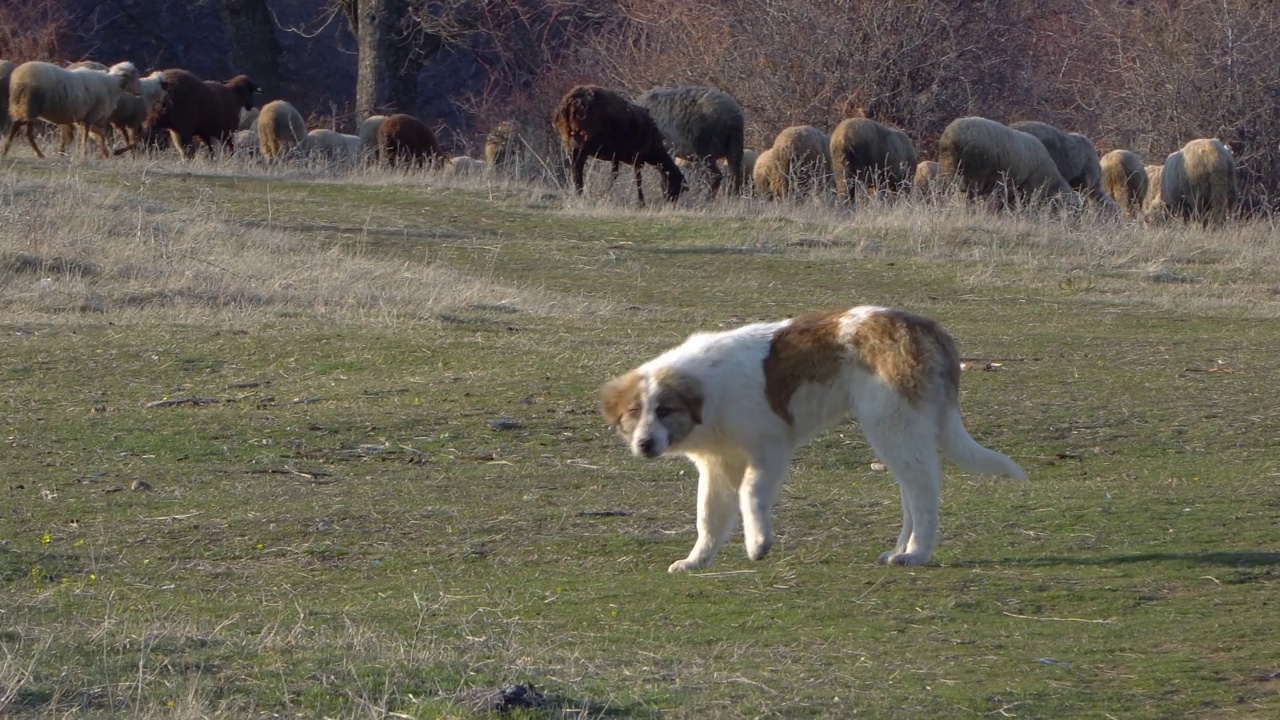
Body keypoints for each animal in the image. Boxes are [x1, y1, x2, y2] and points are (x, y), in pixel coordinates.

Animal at [3, 60, 142, 158]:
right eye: (135, 77)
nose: (138, 92)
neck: (112, 85)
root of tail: (18, 77)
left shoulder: (86, 119)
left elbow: (100, 135)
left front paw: (107, 153)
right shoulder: (90, 117)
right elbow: (86, 137)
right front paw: (84, 154)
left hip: (23, 106)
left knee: (21, 129)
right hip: (29, 105)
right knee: (21, 129)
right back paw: (27, 152)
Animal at [552, 86, 686, 207]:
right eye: (677, 186)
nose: (672, 205)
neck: (655, 152)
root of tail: (569, 102)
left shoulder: (616, 155)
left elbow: (614, 174)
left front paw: (608, 194)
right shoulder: (638, 155)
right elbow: (638, 178)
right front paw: (641, 203)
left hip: (569, 139)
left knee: (573, 166)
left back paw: (578, 194)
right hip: (584, 139)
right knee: (577, 167)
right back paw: (580, 194)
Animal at [599, 303, 1029, 571]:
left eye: (664, 411)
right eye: (634, 413)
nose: (645, 444)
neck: (710, 393)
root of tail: (925, 326)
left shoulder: (769, 449)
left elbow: (750, 494)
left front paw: (758, 543)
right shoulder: (718, 465)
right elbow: (708, 516)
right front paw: (697, 561)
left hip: (892, 427)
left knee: (923, 492)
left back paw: (918, 553)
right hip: (896, 435)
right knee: (912, 491)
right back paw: (900, 551)